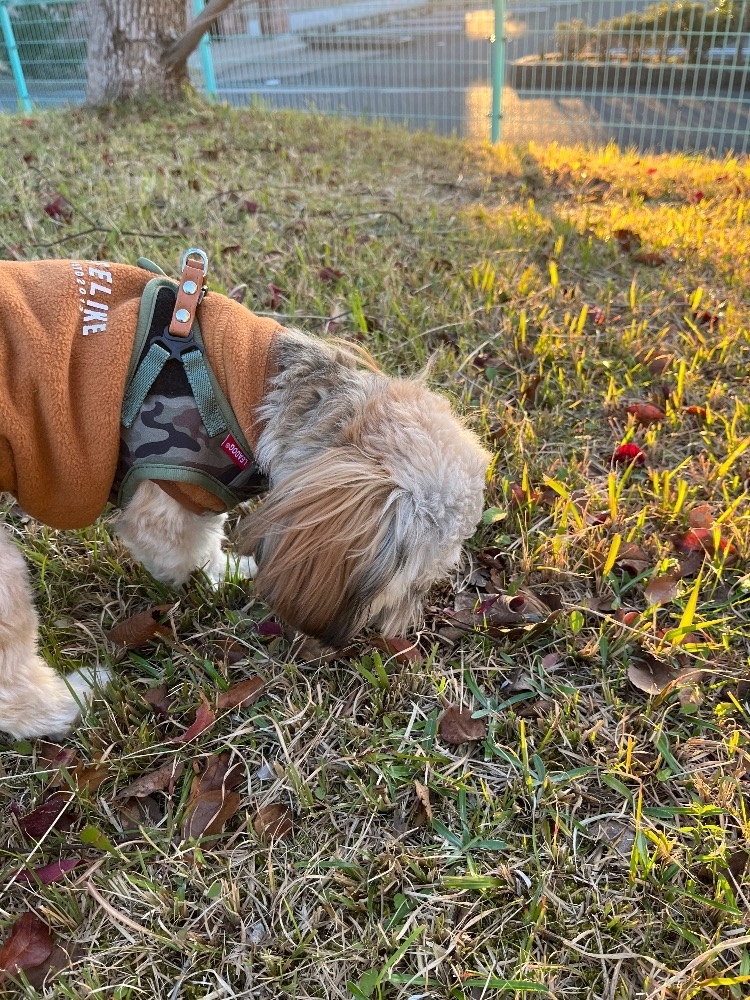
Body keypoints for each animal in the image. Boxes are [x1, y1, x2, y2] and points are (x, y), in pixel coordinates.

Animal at [0, 250, 494, 740]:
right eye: (417, 581)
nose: (407, 626)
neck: (256, 392)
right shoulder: (173, 495)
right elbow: (193, 548)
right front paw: (224, 574)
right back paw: (74, 700)